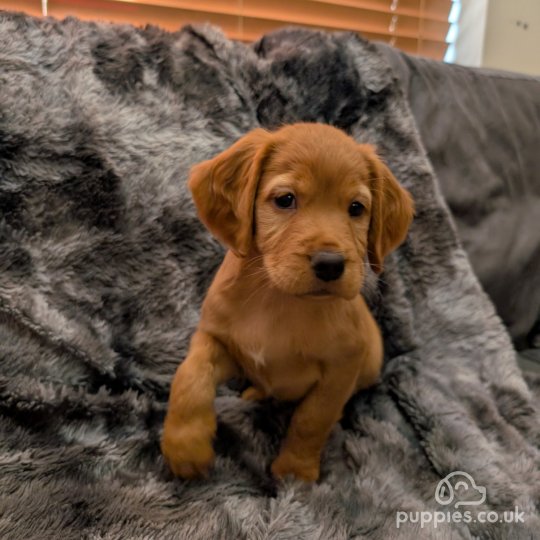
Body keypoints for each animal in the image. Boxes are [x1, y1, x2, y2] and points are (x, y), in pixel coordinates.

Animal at [160, 122, 414, 480]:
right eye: (285, 199)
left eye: (356, 208)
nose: (330, 264)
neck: (277, 300)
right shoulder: (217, 340)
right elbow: (189, 377)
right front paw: (185, 446)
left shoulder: (341, 369)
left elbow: (312, 419)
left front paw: (295, 471)